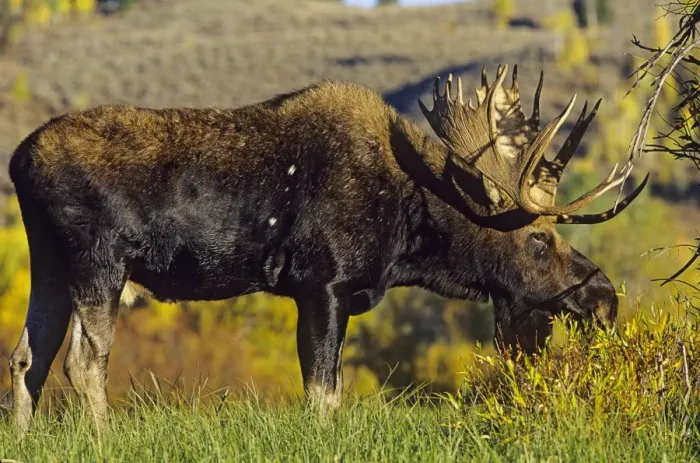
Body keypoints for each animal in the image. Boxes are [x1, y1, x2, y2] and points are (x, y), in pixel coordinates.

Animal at [5, 64, 647, 432]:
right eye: (538, 238)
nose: (603, 297)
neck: (408, 230)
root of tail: (17, 161)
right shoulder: (323, 285)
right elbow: (323, 394)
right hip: (100, 263)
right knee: (82, 361)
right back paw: (102, 438)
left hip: (50, 267)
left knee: (26, 358)